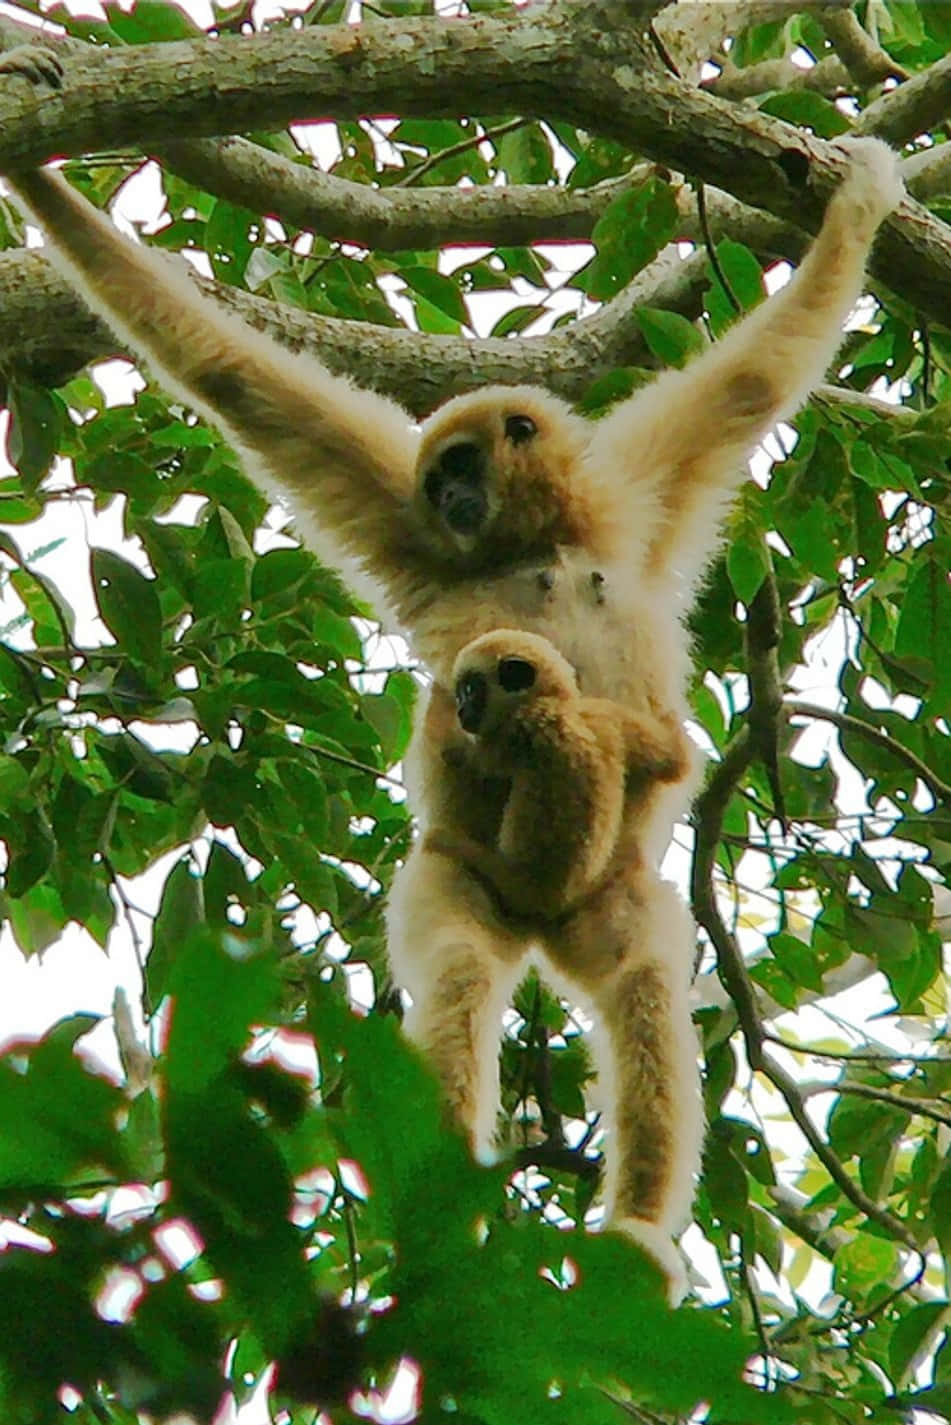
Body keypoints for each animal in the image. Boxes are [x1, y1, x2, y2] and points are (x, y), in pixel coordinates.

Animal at [427, 628, 690, 921]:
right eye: (462, 692)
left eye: (470, 689)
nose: (462, 709)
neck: (555, 700)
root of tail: (552, 900)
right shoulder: (602, 711)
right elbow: (676, 761)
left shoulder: (516, 728)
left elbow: (473, 762)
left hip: (511, 882)